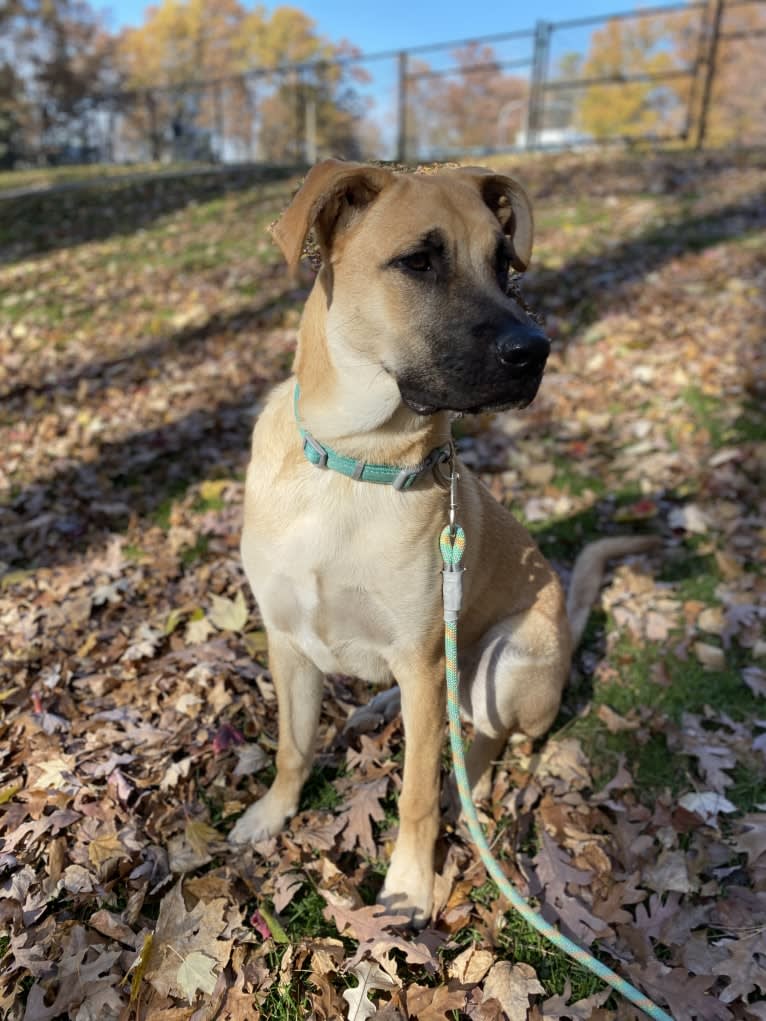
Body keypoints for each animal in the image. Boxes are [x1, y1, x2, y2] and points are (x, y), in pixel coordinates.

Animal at [229, 159, 661, 927]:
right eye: (419, 262)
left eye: (504, 263)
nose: (535, 352)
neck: (355, 464)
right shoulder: (287, 641)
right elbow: (291, 747)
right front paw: (271, 815)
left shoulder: (424, 659)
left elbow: (417, 793)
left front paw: (408, 884)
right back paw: (375, 708)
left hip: (506, 657)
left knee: (483, 737)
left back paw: (469, 787)